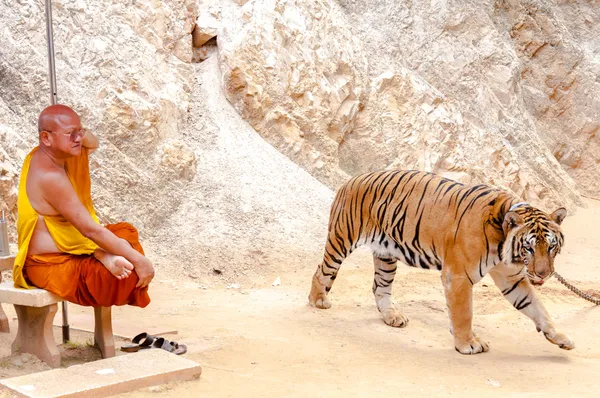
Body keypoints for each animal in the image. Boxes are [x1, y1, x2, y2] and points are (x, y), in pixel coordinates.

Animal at [308, 170, 576, 354]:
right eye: (529, 247)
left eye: (551, 246)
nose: (543, 274)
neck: (503, 243)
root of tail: (351, 178)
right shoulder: (458, 275)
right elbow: (464, 313)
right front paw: (468, 344)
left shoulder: (512, 278)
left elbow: (538, 308)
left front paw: (560, 338)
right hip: (342, 239)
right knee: (322, 270)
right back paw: (318, 300)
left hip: (386, 256)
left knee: (379, 287)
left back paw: (392, 317)